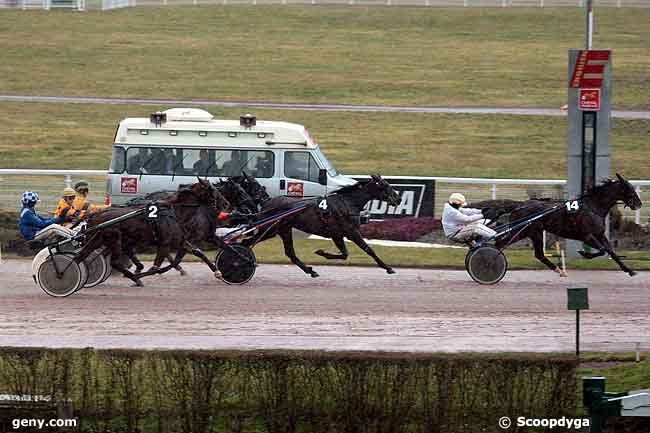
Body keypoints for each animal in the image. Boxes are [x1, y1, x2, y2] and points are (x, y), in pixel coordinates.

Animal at [480, 173, 636, 276]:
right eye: (629, 189)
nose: (638, 203)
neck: (592, 206)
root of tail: (521, 205)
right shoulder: (586, 236)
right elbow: (603, 250)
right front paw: (584, 254)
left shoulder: (599, 234)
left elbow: (611, 251)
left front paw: (629, 270)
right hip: (524, 231)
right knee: (500, 244)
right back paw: (489, 263)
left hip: (534, 232)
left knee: (539, 254)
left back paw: (559, 270)